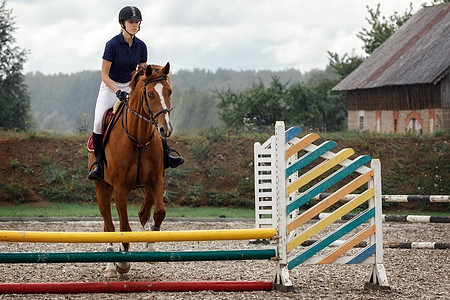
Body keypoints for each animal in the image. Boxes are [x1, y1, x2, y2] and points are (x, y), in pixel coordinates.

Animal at [88, 62, 172, 278]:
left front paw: (150, 246)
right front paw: (123, 263)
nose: (165, 130)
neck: (138, 137)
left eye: (169, 92)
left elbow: (159, 212)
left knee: (143, 212)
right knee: (109, 226)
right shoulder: (120, 188)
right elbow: (124, 226)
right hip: (102, 187)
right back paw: (111, 265)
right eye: (150, 94)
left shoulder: (156, 180)